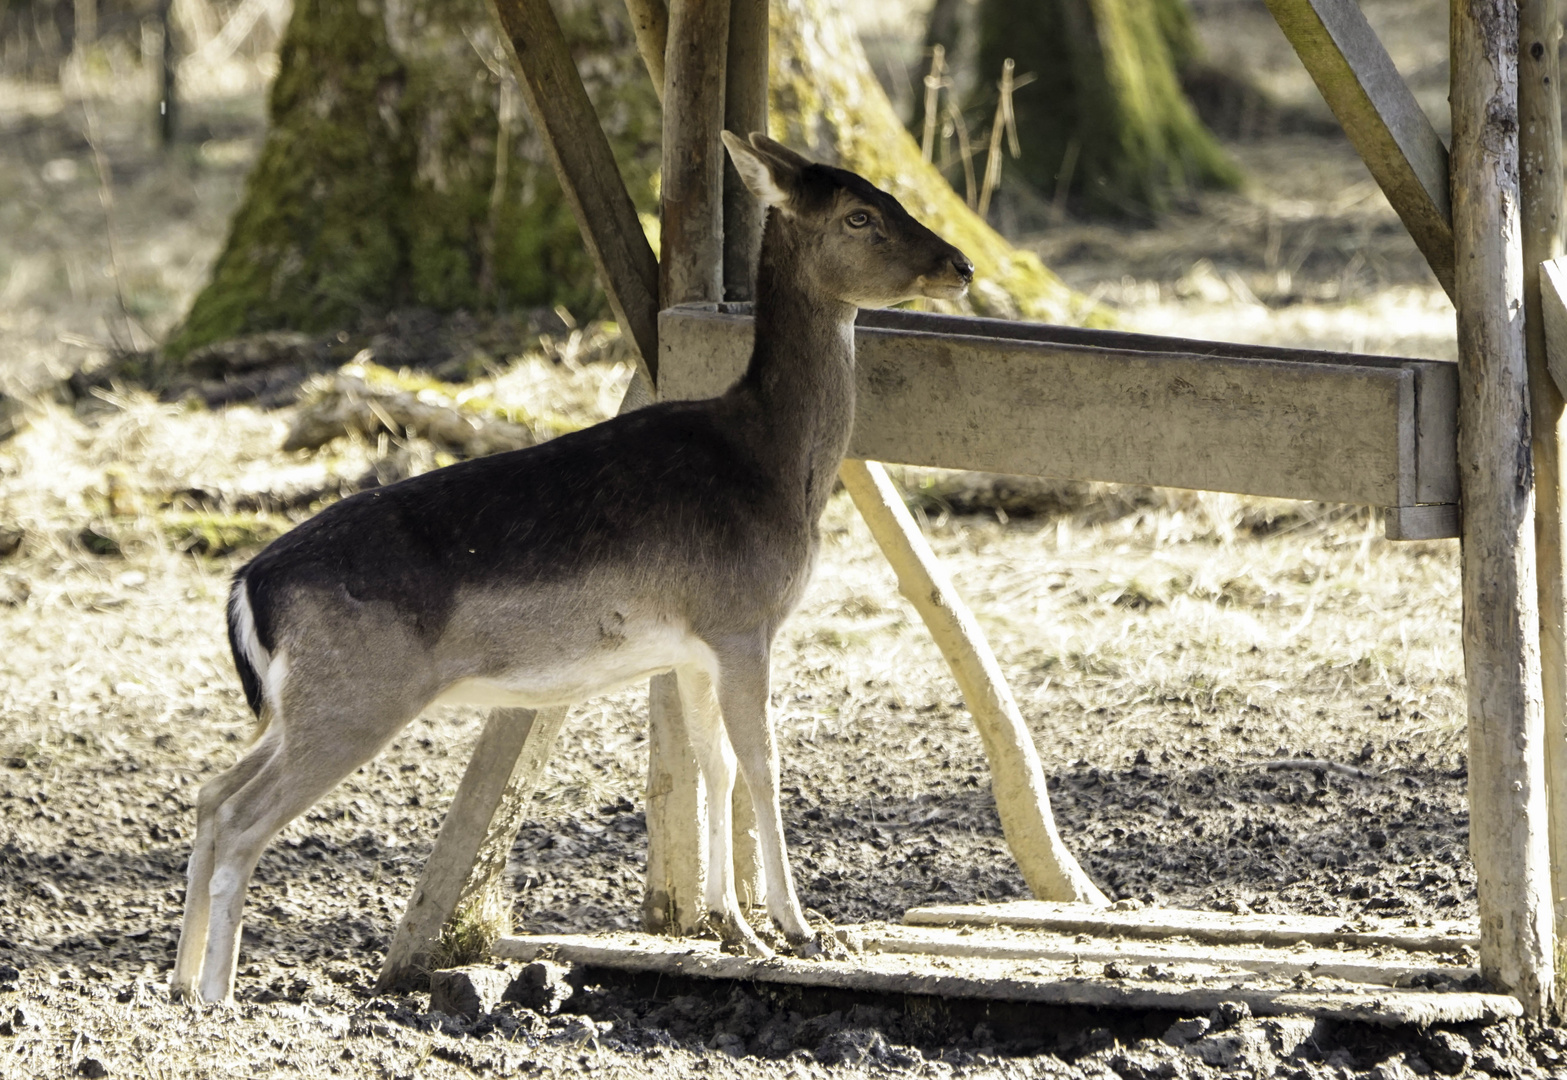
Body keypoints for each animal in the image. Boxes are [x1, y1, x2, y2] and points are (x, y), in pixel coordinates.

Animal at [174, 132, 977, 1003]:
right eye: (860, 213)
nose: (960, 264)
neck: (775, 463)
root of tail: (248, 587)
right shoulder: (742, 620)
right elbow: (760, 767)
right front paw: (799, 931)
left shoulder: (691, 647)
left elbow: (715, 768)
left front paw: (734, 929)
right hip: (351, 698)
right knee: (242, 819)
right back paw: (216, 991)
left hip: (296, 707)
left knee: (211, 795)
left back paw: (179, 981)